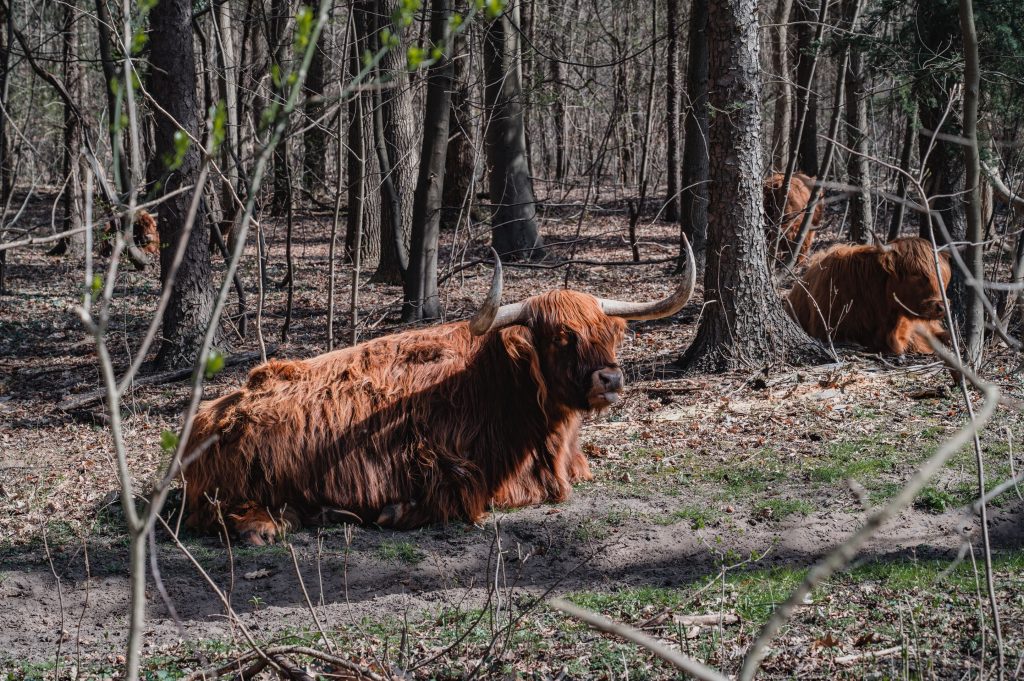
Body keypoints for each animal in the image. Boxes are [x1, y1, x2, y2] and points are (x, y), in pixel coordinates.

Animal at [184, 242, 696, 540]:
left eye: (610, 334)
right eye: (560, 337)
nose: (610, 379)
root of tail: (209, 414)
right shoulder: (444, 462)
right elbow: (462, 499)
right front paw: (396, 511)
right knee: (219, 516)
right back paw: (272, 526)